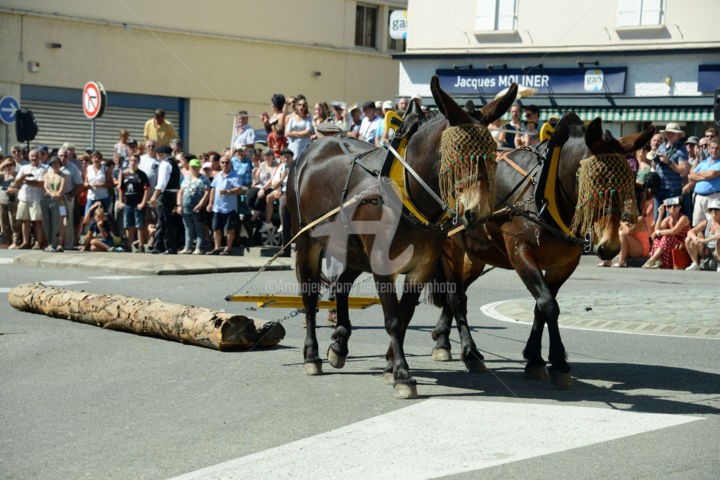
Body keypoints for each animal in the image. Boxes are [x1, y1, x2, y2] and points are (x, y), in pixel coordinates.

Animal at [286, 77, 516, 400]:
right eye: (454, 153)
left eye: (493, 155)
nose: (477, 211)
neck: (410, 192)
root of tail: (318, 144)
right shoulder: (383, 265)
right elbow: (394, 319)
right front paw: (403, 375)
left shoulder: (423, 266)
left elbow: (405, 315)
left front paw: (390, 365)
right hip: (307, 240)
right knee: (309, 296)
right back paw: (312, 355)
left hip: (354, 249)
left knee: (342, 285)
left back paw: (339, 343)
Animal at [430, 114, 656, 388]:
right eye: (592, 179)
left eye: (628, 182)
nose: (609, 245)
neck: (547, 193)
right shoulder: (521, 255)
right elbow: (549, 305)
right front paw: (557, 362)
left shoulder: (563, 265)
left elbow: (542, 305)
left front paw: (535, 357)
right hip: (452, 248)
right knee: (456, 296)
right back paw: (469, 352)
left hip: (476, 255)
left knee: (457, 293)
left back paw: (443, 338)